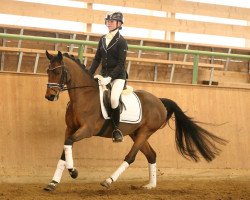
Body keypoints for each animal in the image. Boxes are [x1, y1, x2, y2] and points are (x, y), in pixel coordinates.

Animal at [44, 50, 228, 191]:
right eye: (47, 71)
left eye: (58, 72)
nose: (50, 96)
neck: (84, 96)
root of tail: (160, 102)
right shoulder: (70, 129)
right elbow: (65, 149)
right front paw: (53, 183)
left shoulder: (87, 130)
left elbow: (68, 143)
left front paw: (73, 171)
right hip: (136, 133)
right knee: (151, 154)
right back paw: (150, 185)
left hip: (145, 132)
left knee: (131, 156)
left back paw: (108, 181)